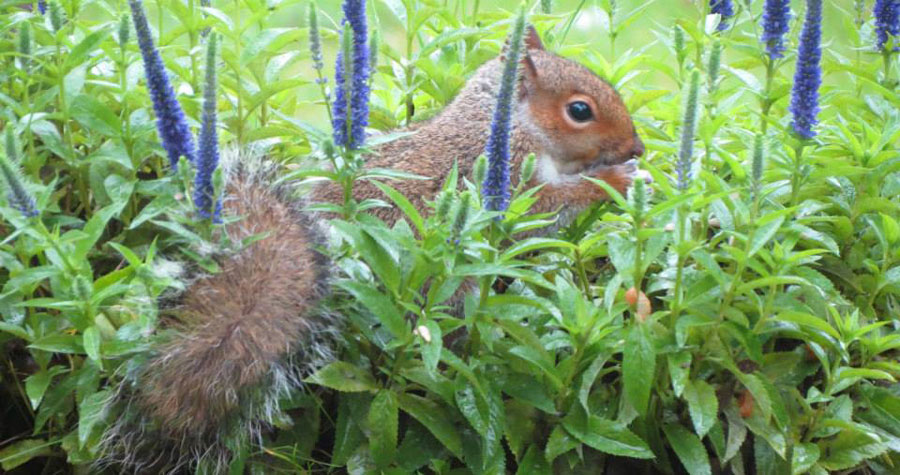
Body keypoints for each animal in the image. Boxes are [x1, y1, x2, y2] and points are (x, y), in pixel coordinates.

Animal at [102, 23, 644, 472]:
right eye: (579, 110)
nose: (637, 148)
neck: (507, 122)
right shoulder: (507, 178)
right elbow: (546, 207)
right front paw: (616, 179)